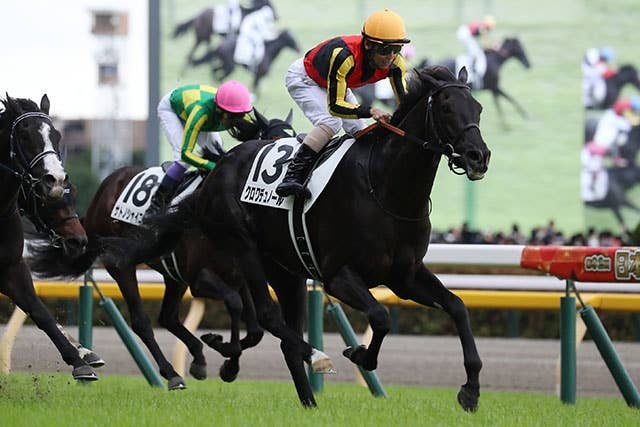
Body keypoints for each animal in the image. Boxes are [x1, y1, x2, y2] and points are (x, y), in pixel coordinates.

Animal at [0, 94, 97, 381]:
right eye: (24, 135)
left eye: (56, 135)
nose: (55, 179)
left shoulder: (11, 267)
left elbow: (38, 310)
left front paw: (79, 359)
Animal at [28, 109, 296, 390]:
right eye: (273, 145)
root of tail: (102, 193)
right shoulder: (199, 278)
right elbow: (234, 304)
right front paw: (225, 353)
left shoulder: (238, 274)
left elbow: (254, 329)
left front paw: (228, 363)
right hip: (121, 266)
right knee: (141, 322)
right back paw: (171, 373)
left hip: (173, 275)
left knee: (167, 317)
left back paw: (197, 357)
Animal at [122, 66, 491, 409]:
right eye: (446, 107)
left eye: (478, 107)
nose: (479, 156)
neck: (386, 187)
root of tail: (217, 169)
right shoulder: (338, 276)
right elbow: (381, 317)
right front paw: (358, 354)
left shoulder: (405, 276)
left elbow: (457, 307)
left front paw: (471, 390)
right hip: (243, 247)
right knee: (269, 316)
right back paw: (312, 356)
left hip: (286, 271)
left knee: (283, 335)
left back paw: (305, 399)